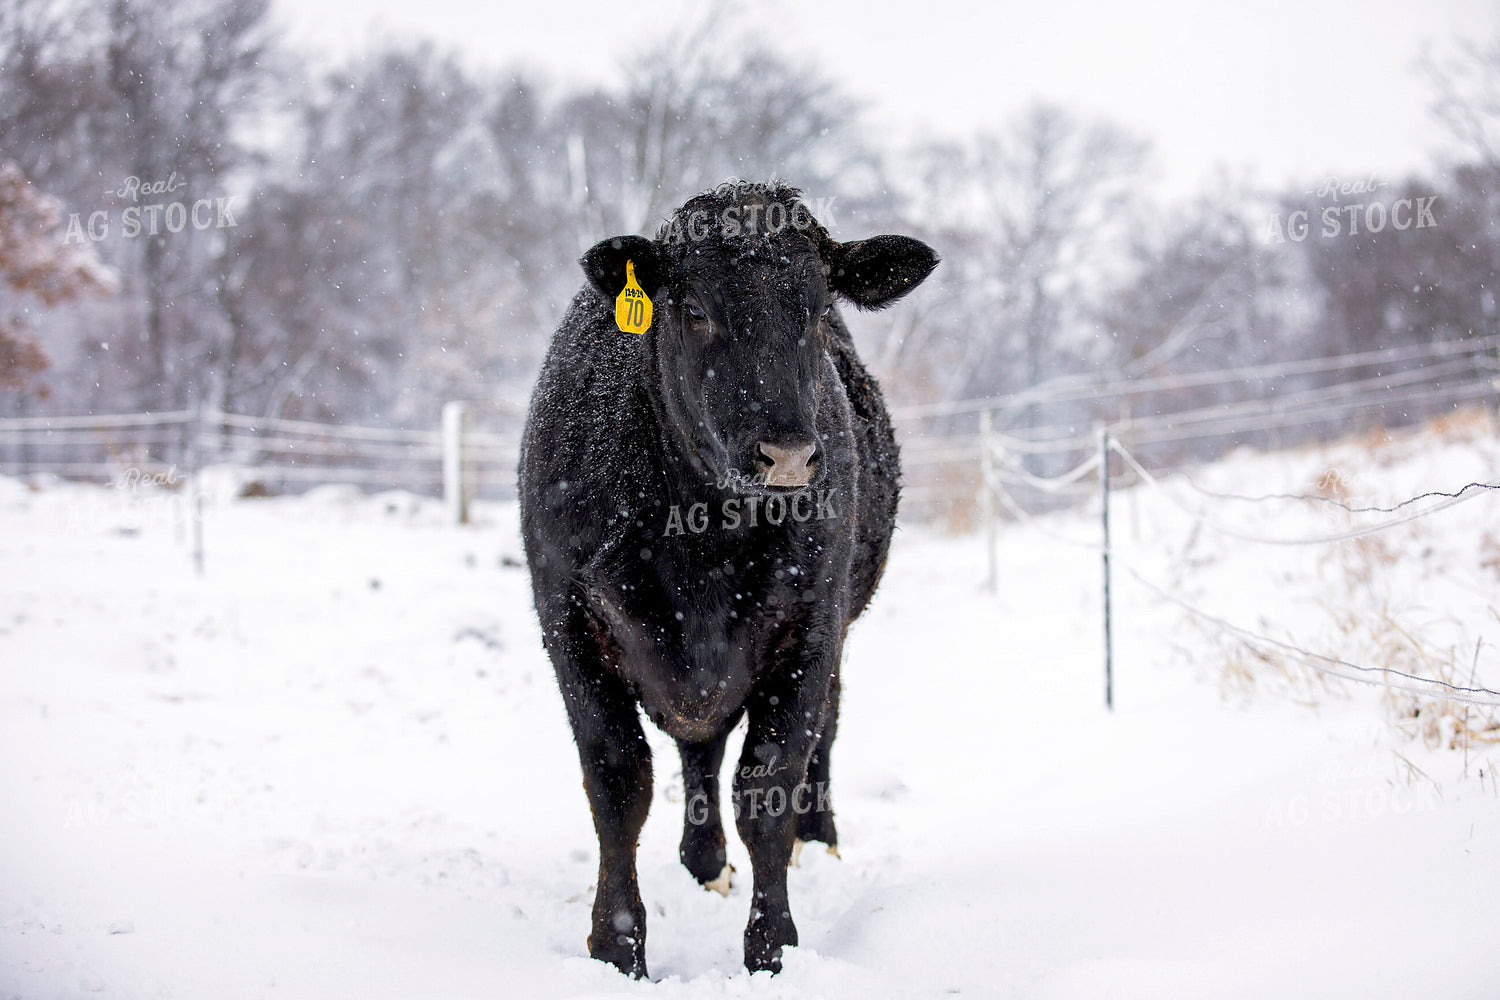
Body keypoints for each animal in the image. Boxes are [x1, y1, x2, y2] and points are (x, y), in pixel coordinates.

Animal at [518, 180, 937, 977]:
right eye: (695, 310)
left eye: (818, 310)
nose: (789, 455)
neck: (701, 545)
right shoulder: (568, 619)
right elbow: (618, 781)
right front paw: (616, 948)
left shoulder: (810, 626)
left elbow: (767, 787)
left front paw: (773, 950)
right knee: (698, 747)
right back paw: (703, 862)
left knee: (823, 724)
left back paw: (817, 837)